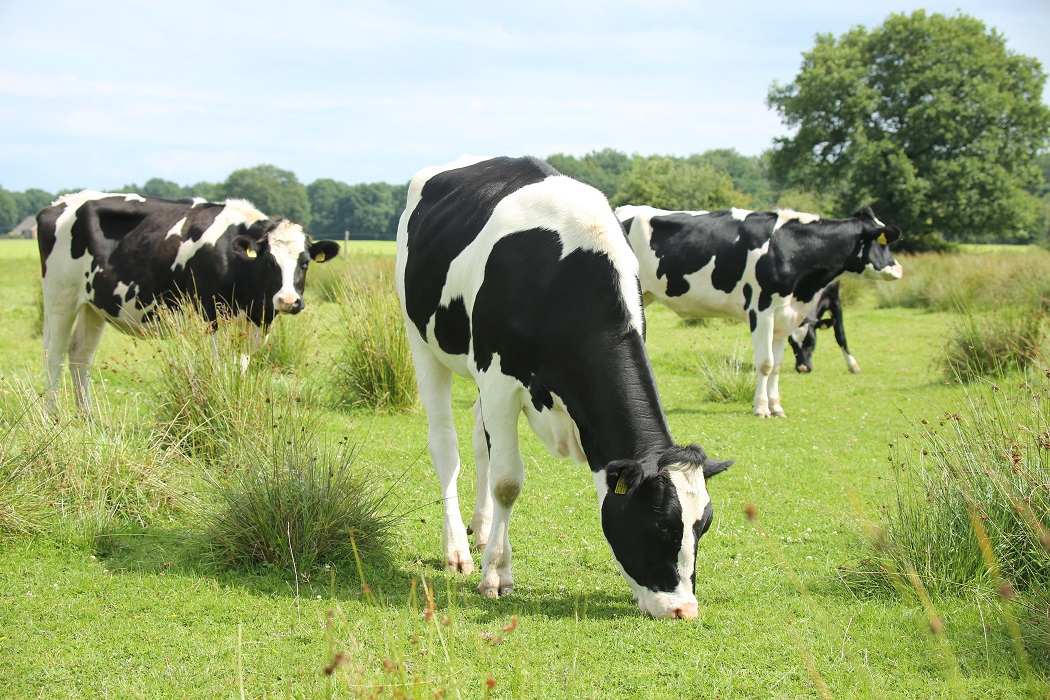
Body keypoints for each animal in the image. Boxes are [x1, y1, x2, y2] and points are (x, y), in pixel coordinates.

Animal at [37, 188, 338, 413]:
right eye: (268, 261)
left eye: (305, 262)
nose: (288, 300)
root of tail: (59, 203)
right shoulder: (210, 317)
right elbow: (218, 369)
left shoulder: (247, 328)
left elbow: (237, 370)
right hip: (60, 296)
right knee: (54, 353)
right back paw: (53, 416)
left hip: (93, 306)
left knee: (80, 355)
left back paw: (87, 418)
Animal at [396, 157, 734, 617]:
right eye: (660, 525)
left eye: (703, 526)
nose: (684, 609)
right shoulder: (499, 378)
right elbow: (508, 481)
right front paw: (496, 575)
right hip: (422, 342)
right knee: (446, 446)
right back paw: (458, 551)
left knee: (480, 443)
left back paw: (481, 532)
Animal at [613, 205, 902, 419]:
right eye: (883, 243)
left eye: (811, 342)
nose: (898, 269)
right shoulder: (762, 311)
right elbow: (765, 363)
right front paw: (761, 408)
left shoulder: (784, 318)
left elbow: (777, 365)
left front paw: (776, 406)